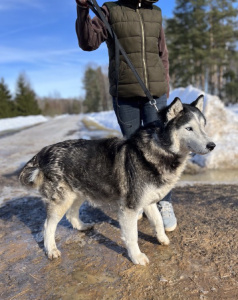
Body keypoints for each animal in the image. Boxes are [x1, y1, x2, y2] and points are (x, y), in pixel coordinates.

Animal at [19, 95, 216, 264]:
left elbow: (158, 221)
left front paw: (162, 239)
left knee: (71, 214)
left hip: (78, 193)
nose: (212, 145)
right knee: (48, 226)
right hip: (62, 200)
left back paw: (82, 226)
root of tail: (44, 151)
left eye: (204, 126)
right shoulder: (129, 208)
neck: (159, 148)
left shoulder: (148, 201)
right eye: (189, 128)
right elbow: (132, 236)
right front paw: (137, 257)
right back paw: (51, 250)